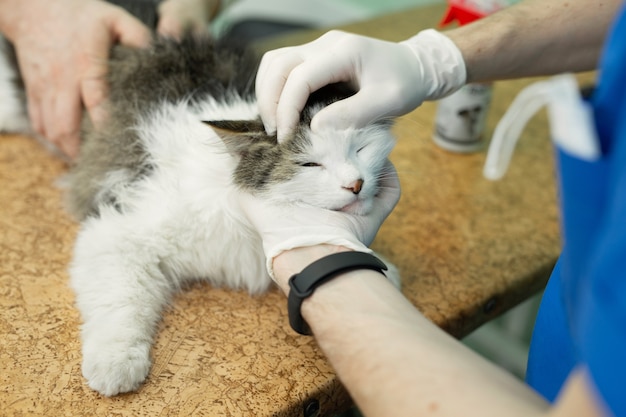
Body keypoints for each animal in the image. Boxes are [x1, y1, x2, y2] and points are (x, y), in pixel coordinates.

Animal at [0, 34, 400, 394]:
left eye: (360, 148)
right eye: (309, 164)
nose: (356, 184)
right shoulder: (117, 229)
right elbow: (120, 301)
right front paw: (116, 363)